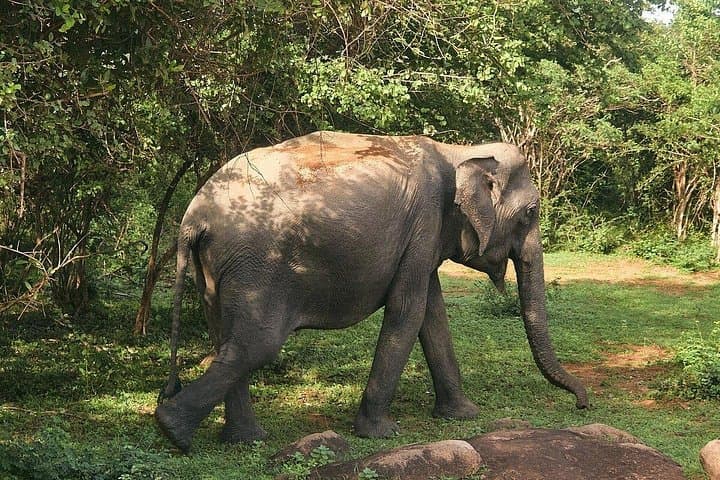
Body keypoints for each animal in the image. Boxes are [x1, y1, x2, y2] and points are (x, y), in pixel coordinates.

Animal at [154, 131, 588, 453]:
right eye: (530, 213)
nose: (583, 404)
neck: (461, 151)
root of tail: (193, 217)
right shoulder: (425, 221)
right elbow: (408, 311)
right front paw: (381, 433)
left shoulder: (425, 238)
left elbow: (432, 316)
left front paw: (463, 415)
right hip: (256, 266)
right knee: (255, 344)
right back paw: (172, 431)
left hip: (217, 270)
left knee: (225, 339)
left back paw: (242, 440)